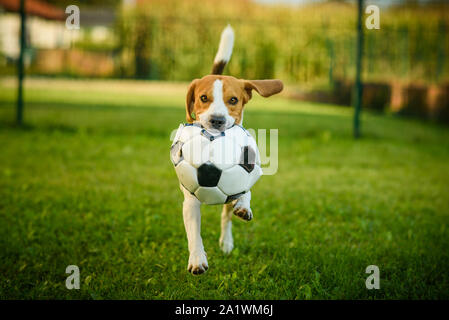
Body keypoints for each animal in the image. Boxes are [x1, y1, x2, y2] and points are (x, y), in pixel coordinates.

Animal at [180, 25, 282, 276]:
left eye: (233, 100)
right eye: (203, 98)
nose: (217, 120)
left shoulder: (248, 174)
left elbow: (246, 192)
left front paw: (244, 206)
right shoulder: (190, 201)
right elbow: (194, 232)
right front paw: (197, 259)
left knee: (226, 216)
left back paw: (226, 242)